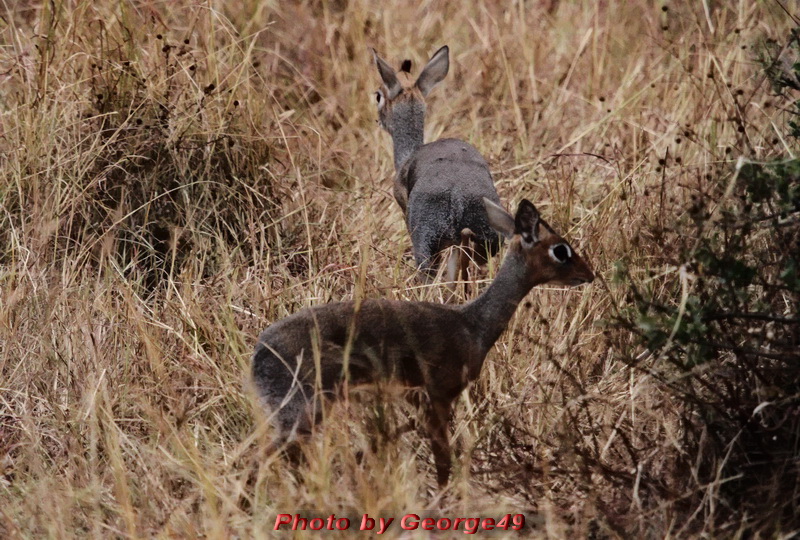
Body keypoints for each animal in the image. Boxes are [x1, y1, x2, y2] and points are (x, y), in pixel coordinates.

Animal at [252, 197, 592, 486]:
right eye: (561, 250)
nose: (589, 274)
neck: (473, 324)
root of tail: (258, 354)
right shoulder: (439, 399)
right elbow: (444, 464)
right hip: (304, 413)